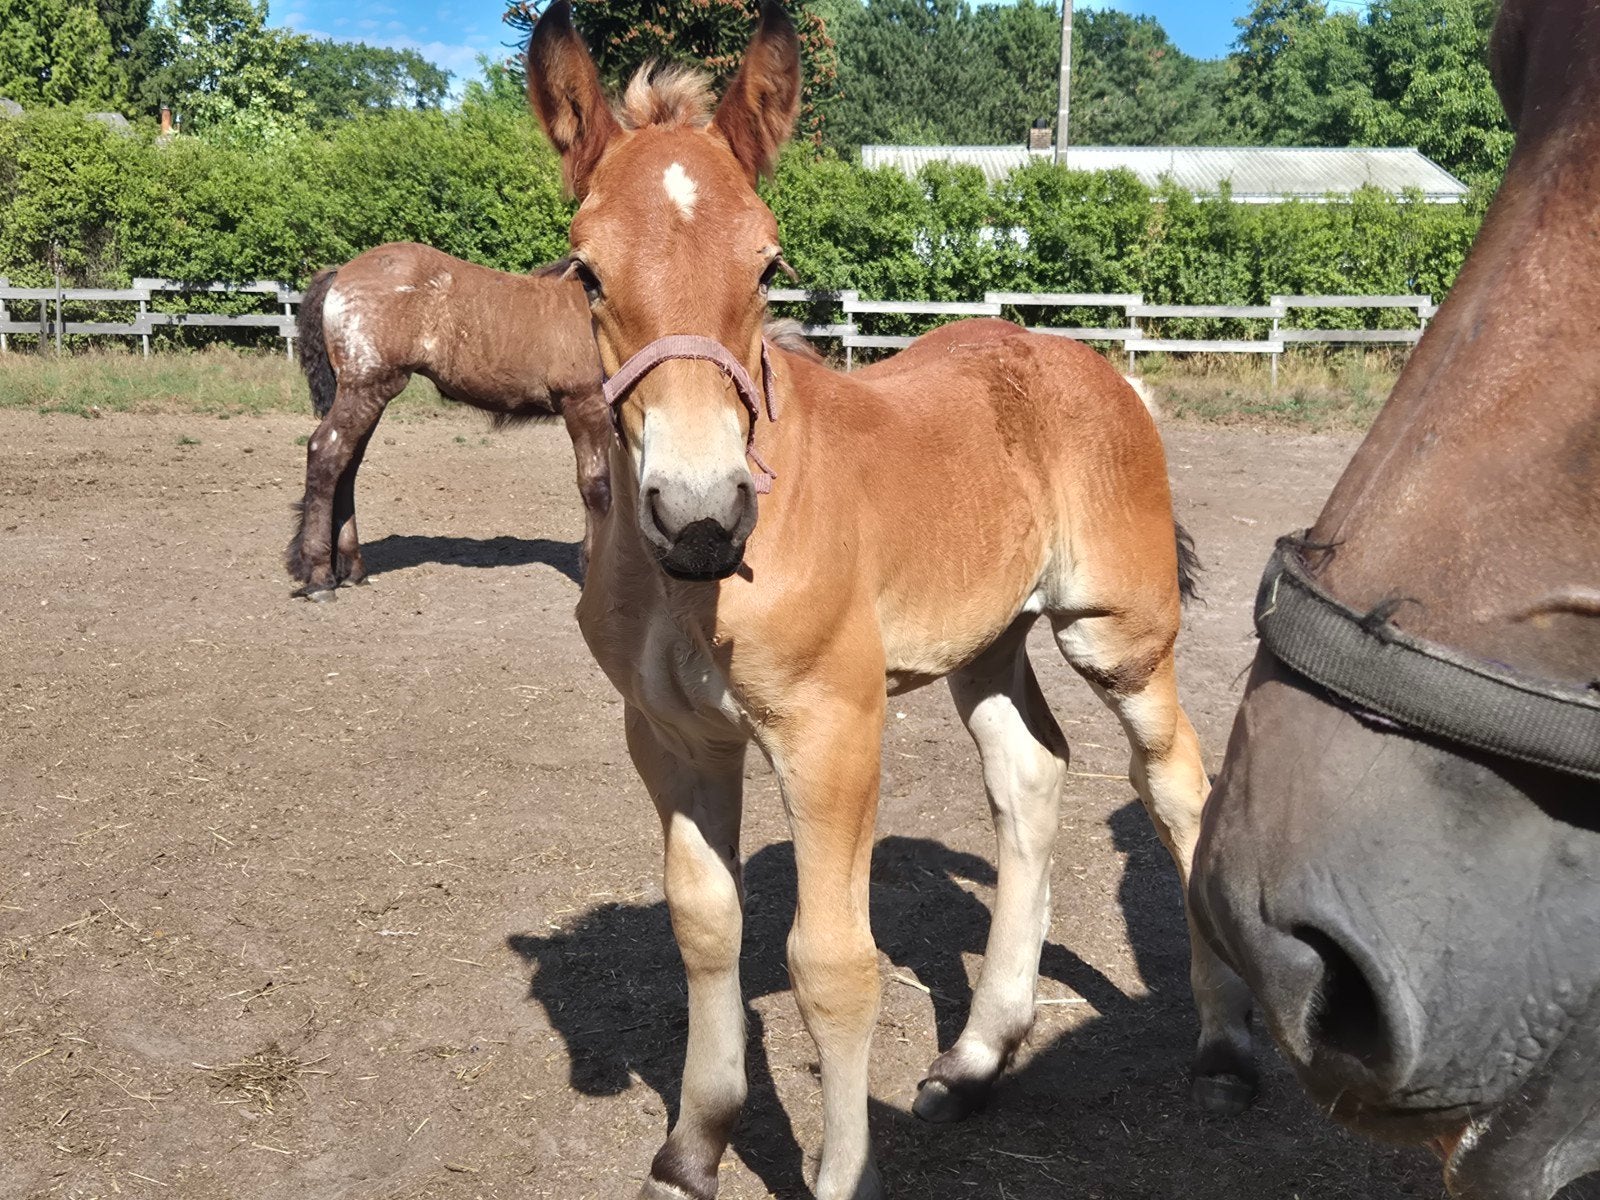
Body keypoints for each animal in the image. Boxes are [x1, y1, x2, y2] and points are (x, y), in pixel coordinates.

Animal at [284, 242, 613, 600]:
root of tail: (341, 272)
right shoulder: (586, 404)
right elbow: (596, 487)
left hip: (369, 395)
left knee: (347, 465)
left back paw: (353, 569)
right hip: (365, 388)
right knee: (325, 453)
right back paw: (320, 577)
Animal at [523, 5, 1251, 1197]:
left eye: (768, 262)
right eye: (585, 271)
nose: (701, 514)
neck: (694, 590)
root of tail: (1103, 370)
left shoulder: (830, 730)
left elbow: (831, 963)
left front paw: (839, 1170)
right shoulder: (673, 736)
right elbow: (704, 926)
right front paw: (693, 1144)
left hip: (1120, 639)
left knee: (1177, 785)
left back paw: (1227, 1046)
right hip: (986, 644)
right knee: (1031, 776)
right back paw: (977, 1059)